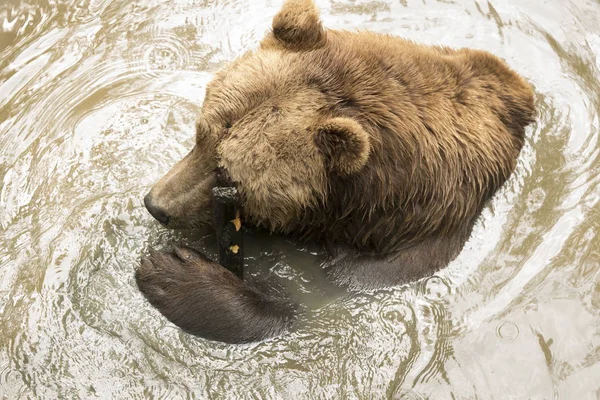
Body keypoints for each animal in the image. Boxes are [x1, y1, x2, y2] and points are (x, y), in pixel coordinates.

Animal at [136, 0, 536, 344]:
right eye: (200, 135)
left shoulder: (388, 257)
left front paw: (173, 270)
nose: (157, 205)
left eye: (227, 174)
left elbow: (308, 313)